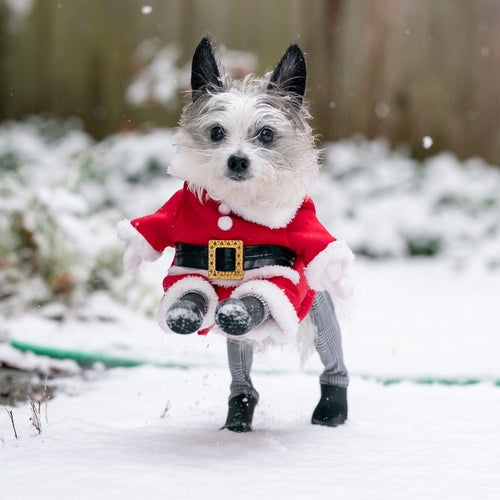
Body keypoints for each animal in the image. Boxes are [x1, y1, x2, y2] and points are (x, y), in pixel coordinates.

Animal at [117, 38, 354, 430]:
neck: (235, 210)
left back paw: (332, 405)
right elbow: (191, 293)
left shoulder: (280, 279)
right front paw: (185, 311)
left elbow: (257, 301)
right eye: (216, 132)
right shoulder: (187, 266)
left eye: (266, 134)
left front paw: (241, 309)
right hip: (238, 343)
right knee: (240, 367)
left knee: (331, 352)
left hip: (317, 310)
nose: (238, 160)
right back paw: (239, 409)